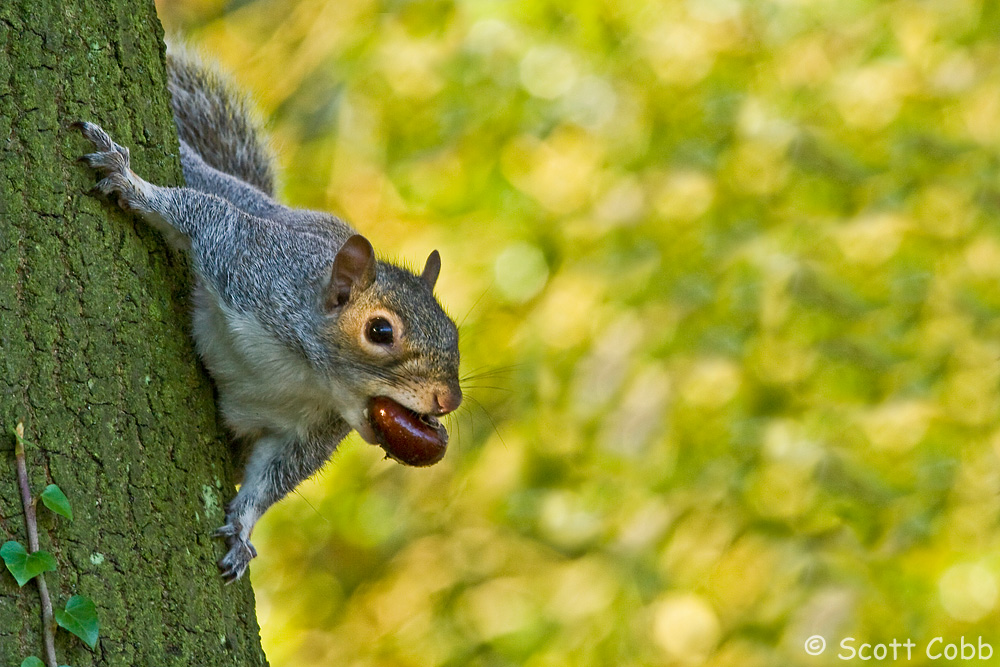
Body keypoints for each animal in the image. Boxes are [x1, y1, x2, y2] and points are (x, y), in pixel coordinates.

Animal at [74, 45, 462, 582]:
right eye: (381, 330)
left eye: (455, 334)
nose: (449, 399)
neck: (304, 373)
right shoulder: (246, 259)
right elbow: (199, 213)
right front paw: (132, 185)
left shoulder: (308, 433)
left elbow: (272, 480)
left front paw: (241, 530)